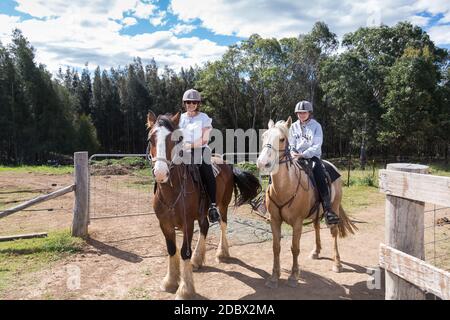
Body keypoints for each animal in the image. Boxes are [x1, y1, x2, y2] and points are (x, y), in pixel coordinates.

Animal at [146, 111, 262, 298]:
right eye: (151, 139)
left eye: (176, 139)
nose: (161, 173)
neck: (173, 191)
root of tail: (228, 164)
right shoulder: (164, 224)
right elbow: (172, 250)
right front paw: (170, 282)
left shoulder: (187, 223)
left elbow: (184, 251)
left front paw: (185, 290)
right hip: (201, 213)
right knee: (205, 227)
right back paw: (197, 260)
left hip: (222, 205)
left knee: (222, 224)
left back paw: (222, 253)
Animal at [256, 118, 358, 290]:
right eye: (264, 136)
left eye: (282, 139)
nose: (263, 163)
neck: (285, 187)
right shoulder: (275, 221)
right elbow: (276, 248)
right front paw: (274, 277)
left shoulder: (297, 223)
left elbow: (294, 248)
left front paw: (293, 277)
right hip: (317, 212)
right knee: (316, 226)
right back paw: (316, 251)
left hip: (334, 208)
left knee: (334, 233)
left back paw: (337, 264)